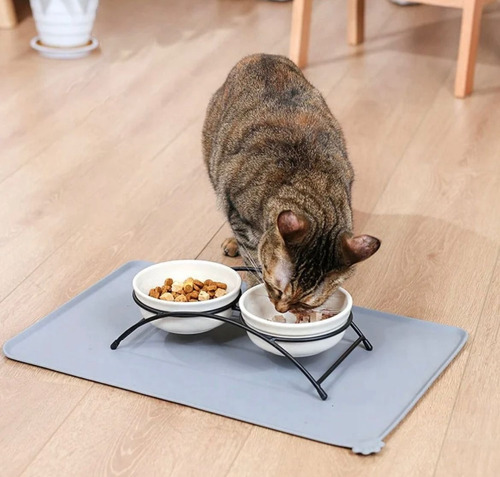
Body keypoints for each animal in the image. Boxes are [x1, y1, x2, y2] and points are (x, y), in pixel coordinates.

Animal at [201, 54, 380, 312]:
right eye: (275, 288)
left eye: (305, 304)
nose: (281, 309)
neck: (310, 183)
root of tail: (261, 55)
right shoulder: (238, 213)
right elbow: (252, 257)